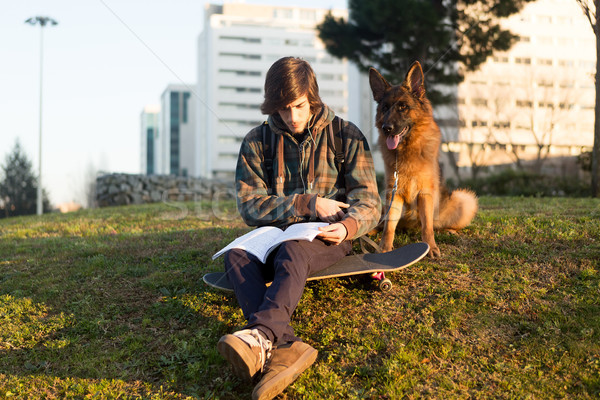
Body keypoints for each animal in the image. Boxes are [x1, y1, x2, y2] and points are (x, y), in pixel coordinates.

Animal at [368, 61, 476, 258]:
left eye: (403, 107)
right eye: (384, 108)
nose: (387, 128)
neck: (407, 150)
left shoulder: (425, 194)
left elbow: (427, 226)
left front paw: (430, 247)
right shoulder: (393, 194)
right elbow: (388, 227)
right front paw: (384, 248)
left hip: (463, 200)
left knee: (437, 224)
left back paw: (448, 230)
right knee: (382, 222)